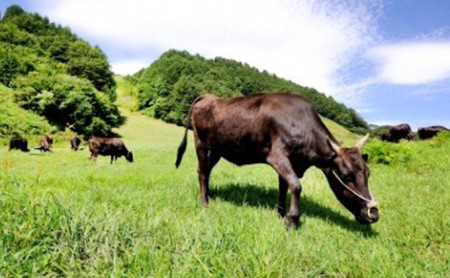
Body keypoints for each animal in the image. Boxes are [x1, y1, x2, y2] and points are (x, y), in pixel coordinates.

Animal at [174, 93, 378, 228]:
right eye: (346, 175)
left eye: (368, 173)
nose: (374, 214)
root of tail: (208, 96)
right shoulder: (277, 156)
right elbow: (296, 186)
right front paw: (292, 219)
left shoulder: (291, 162)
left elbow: (284, 187)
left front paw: (280, 213)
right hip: (200, 143)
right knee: (201, 171)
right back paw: (204, 202)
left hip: (218, 149)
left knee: (207, 171)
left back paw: (209, 195)